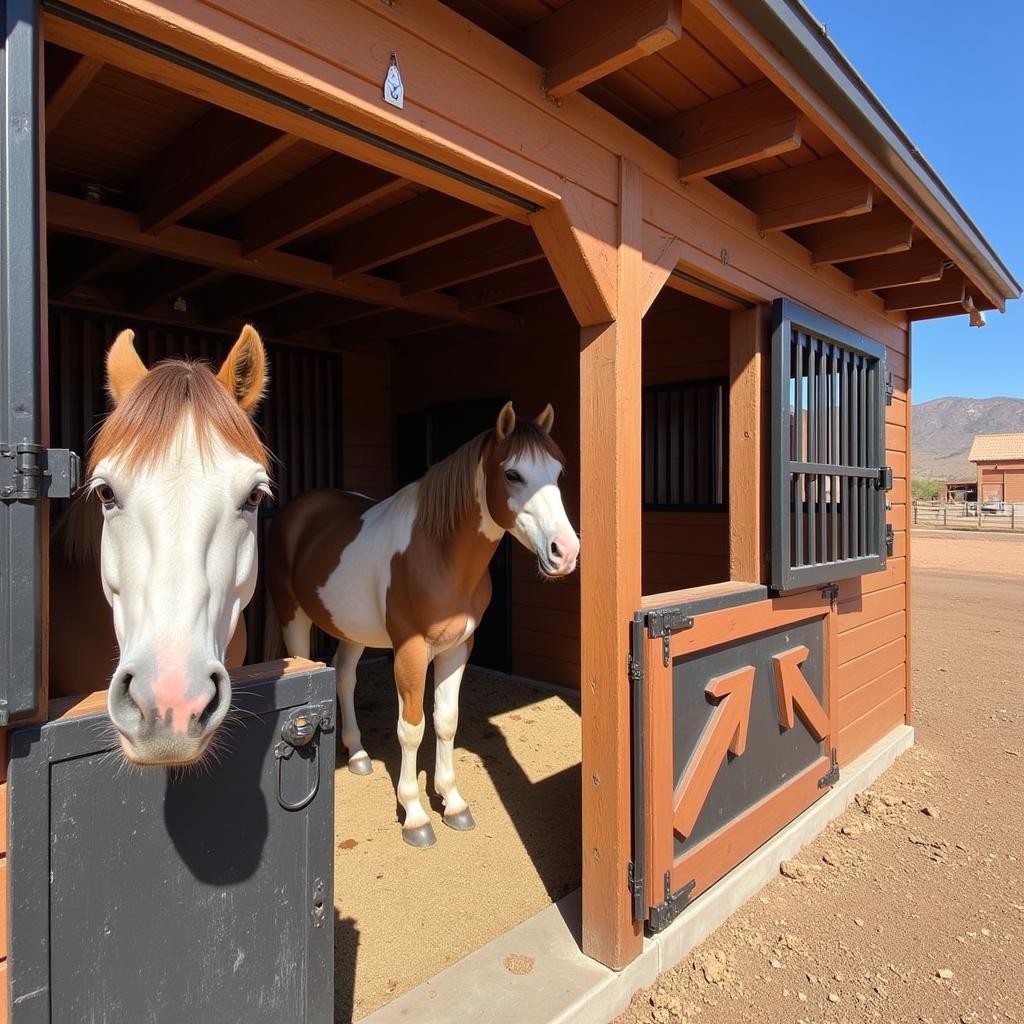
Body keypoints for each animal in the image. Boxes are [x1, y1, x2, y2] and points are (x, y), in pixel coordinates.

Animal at [268, 403, 581, 843]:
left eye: (558, 473)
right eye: (513, 474)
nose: (565, 552)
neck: (438, 553)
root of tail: (299, 510)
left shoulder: (457, 648)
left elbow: (446, 721)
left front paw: (453, 803)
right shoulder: (411, 651)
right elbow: (412, 727)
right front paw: (416, 815)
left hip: (352, 629)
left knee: (345, 677)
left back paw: (358, 754)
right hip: (293, 617)